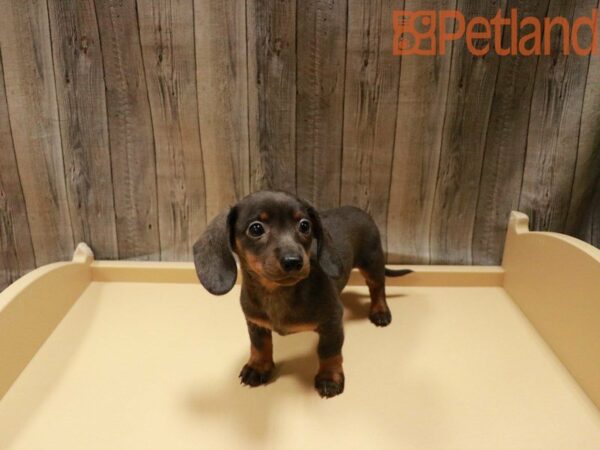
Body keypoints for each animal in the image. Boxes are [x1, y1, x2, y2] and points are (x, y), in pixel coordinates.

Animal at [195, 190, 410, 398]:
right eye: (255, 229)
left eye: (304, 225)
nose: (293, 261)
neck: (276, 293)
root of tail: (359, 210)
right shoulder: (255, 322)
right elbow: (259, 345)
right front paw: (258, 367)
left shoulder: (332, 323)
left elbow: (329, 352)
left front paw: (329, 378)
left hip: (372, 262)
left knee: (377, 287)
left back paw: (380, 311)